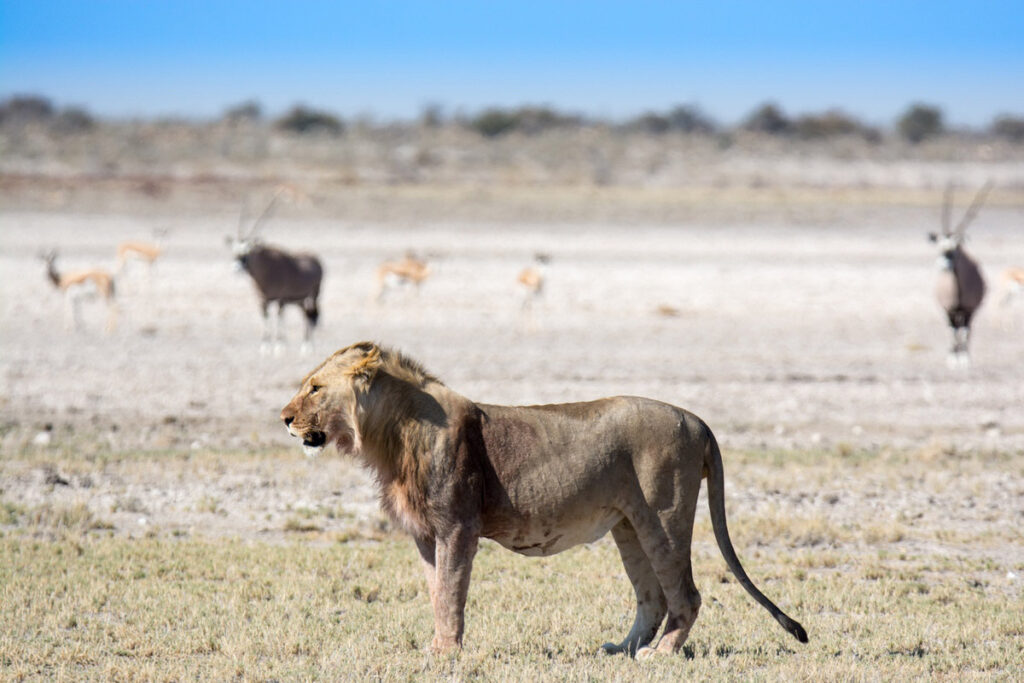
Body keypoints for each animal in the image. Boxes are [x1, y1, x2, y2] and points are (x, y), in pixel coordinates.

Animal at [280, 342, 808, 658]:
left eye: (314, 388)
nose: (284, 418)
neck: (391, 436)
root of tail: (698, 420)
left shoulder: (458, 528)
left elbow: (451, 593)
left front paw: (448, 653)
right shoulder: (426, 536)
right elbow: (435, 592)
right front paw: (436, 647)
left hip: (665, 516)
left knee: (687, 595)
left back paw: (659, 655)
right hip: (629, 525)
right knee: (652, 597)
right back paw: (620, 650)